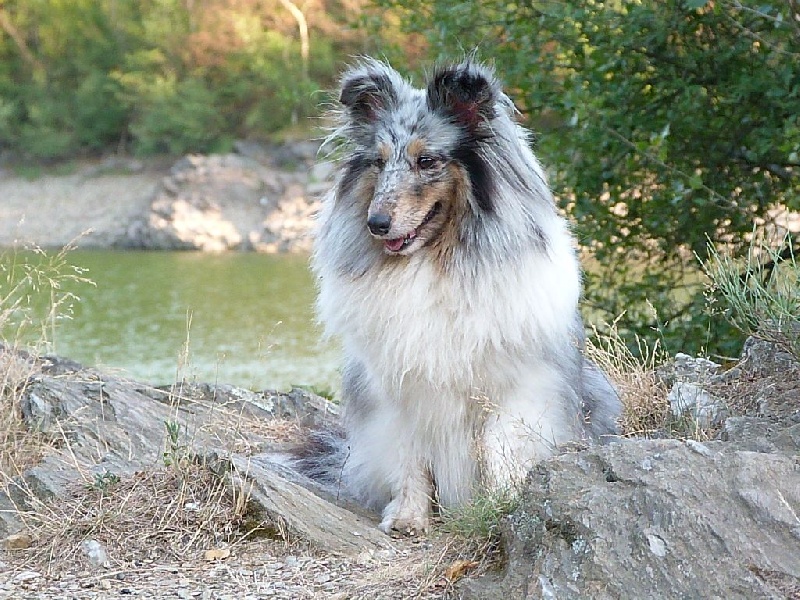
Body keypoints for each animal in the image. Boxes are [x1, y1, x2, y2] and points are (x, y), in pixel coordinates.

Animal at [304, 57, 620, 536]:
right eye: (378, 162)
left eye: (426, 160)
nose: (376, 223)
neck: (433, 262)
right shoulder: (396, 394)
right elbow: (410, 459)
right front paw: (408, 519)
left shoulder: (516, 389)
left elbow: (498, 449)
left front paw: (504, 506)